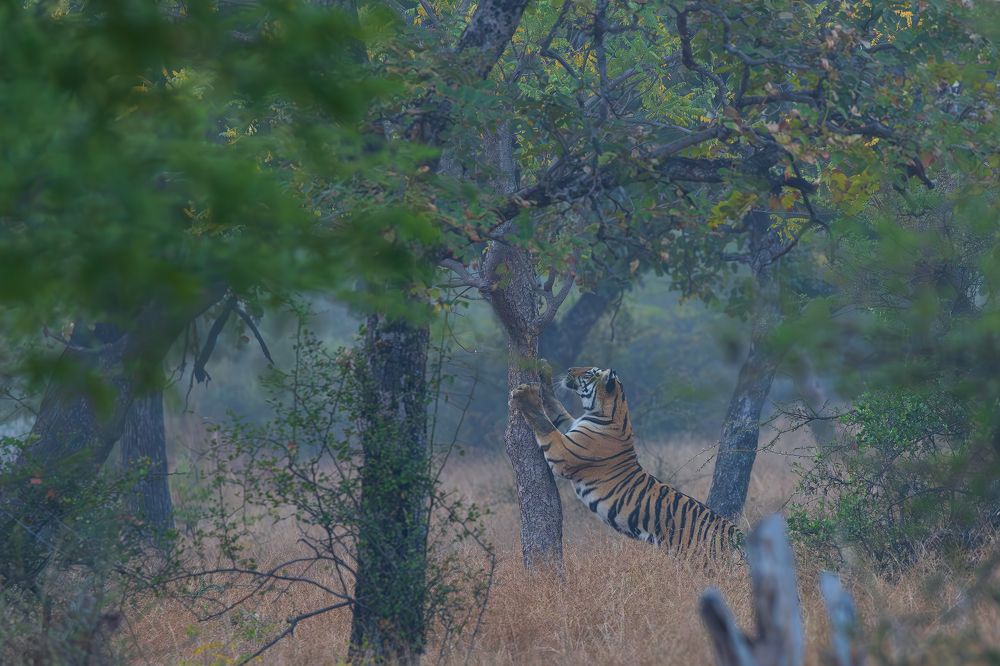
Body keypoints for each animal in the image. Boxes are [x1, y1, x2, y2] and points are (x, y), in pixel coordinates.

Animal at [509, 364, 743, 559]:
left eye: (589, 373)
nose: (570, 369)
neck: (608, 411)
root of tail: (734, 532)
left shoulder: (563, 452)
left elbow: (543, 421)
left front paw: (525, 395)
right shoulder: (571, 426)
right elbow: (556, 407)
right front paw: (544, 372)